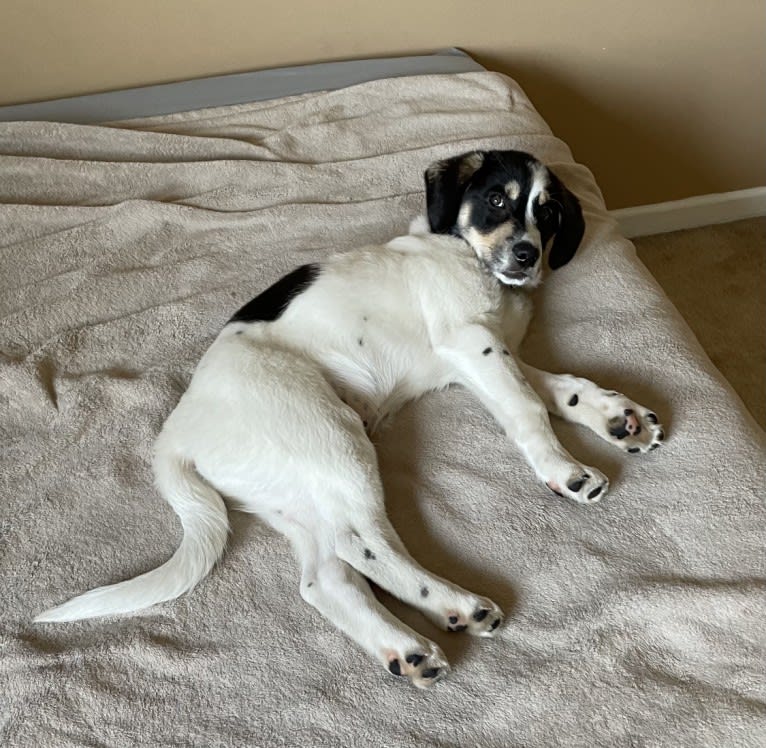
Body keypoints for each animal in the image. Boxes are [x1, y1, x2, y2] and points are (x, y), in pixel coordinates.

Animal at [33, 149, 664, 688]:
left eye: (548, 212)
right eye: (497, 200)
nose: (528, 255)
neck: (470, 259)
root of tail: (174, 435)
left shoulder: (481, 359)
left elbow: (561, 389)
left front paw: (617, 417)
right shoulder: (472, 343)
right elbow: (531, 405)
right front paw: (566, 469)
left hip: (295, 492)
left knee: (325, 577)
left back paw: (405, 648)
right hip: (334, 439)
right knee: (365, 545)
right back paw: (456, 604)